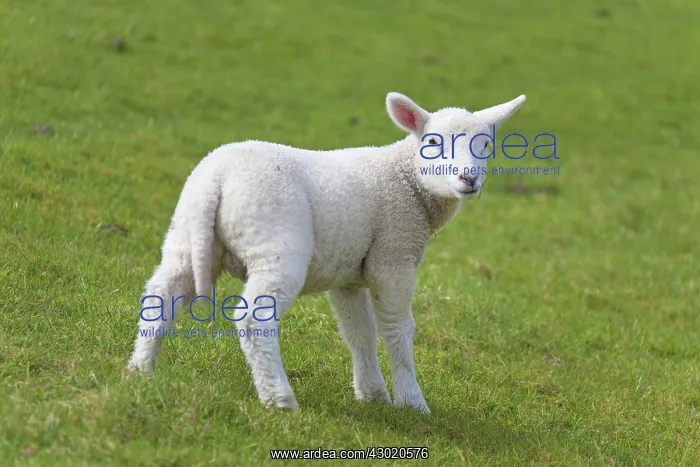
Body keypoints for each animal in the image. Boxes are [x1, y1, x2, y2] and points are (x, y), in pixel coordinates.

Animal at [126, 91, 526, 414]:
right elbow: (397, 328)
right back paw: (279, 399)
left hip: (186, 235)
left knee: (161, 294)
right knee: (254, 319)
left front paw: (372, 394)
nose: (469, 179)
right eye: (431, 142)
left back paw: (140, 369)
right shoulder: (393, 256)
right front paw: (412, 401)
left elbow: (359, 332)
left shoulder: (348, 274)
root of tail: (217, 177)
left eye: (485, 146)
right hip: (276, 243)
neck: (405, 179)